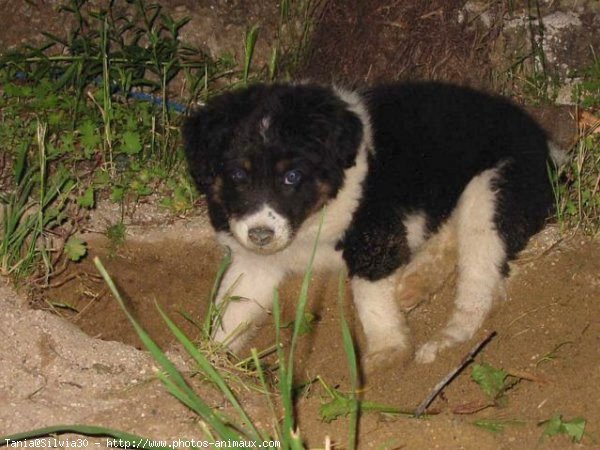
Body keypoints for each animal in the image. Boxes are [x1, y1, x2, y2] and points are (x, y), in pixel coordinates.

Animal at [182, 82, 552, 368]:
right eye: (237, 175)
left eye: (292, 177)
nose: (261, 235)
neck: (311, 220)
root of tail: (545, 142)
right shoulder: (254, 262)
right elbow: (232, 308)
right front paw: (206, 364)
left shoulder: (375, 235)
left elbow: (369, 295)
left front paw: (388, 352)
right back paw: (413, 283)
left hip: (493, 191)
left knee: (481, 282)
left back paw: (444, 340)